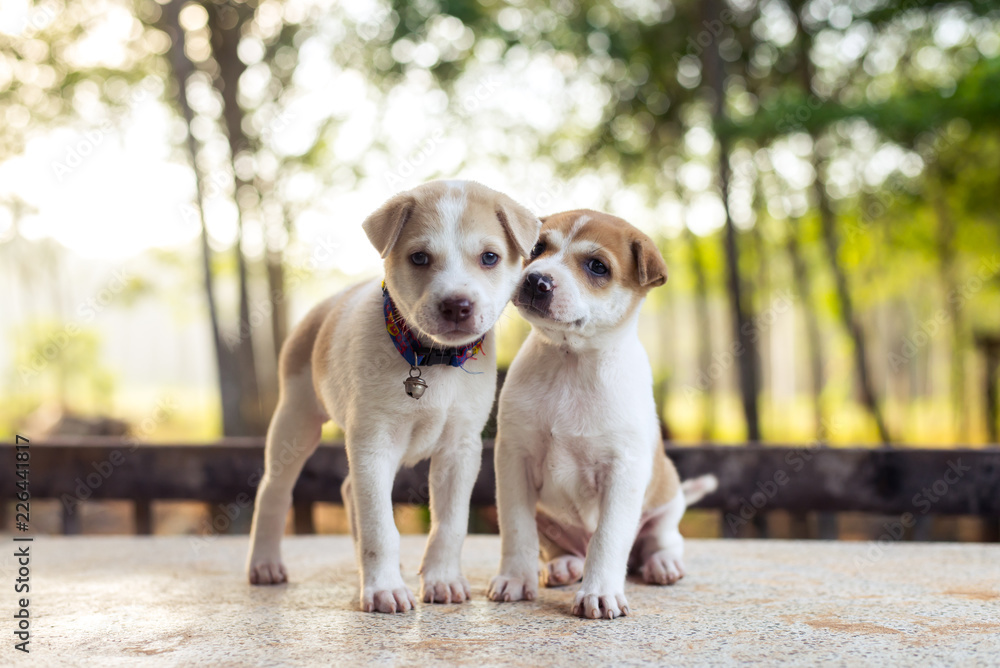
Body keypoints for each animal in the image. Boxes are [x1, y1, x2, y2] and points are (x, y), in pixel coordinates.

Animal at [250, 180, 544, 612]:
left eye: (489, 257)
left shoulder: (460, 449)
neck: (431, 359)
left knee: (347, 490)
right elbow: (380, 526)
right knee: (273, 490)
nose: (457, 305)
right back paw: (265, 564)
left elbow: (450, 524)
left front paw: (442, 580)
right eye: (419, 257)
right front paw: (383, 588)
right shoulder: (373, 442)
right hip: (295, 421)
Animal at [490, 210, 712, 620]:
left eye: (597, 266)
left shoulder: (622, 471)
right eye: (537, 249)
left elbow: (608, 538)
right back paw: (563, 564)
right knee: (563, 546)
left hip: (666, 501)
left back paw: (662, 564)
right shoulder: (514, 460)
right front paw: (515, 578)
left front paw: (600, 592)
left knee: (661, 539)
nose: (536, 280)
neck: (570, 362)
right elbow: (515, 528)